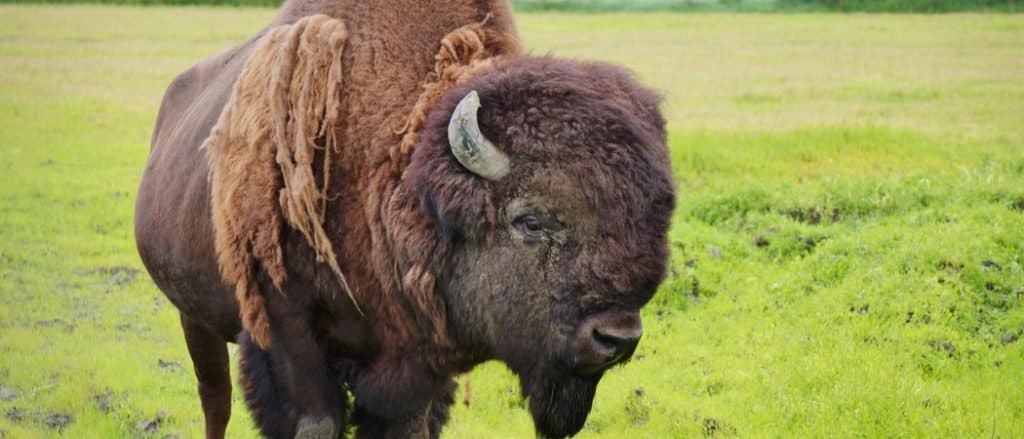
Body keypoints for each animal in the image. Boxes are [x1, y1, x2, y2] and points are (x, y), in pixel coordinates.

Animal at [134, 1, 675, 438]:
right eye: (530, 222)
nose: (616, 338)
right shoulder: (285, 327)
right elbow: (316, 421)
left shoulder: (416, 365)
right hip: (194, 316)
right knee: (215, 399)